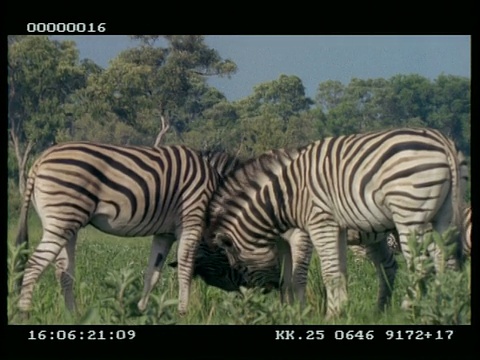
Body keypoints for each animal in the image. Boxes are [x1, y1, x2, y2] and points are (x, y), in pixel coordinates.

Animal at [12, 141, 229, 316]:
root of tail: (41, 159)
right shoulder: (191, 220)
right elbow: (185, 268)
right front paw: (183, 313)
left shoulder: (164, 233)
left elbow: (153, 273)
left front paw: (141, 311)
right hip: (63, 218)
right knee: (34, 265)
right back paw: (24, 314)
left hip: (67, 224)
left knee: (64, 273)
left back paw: (72, 316)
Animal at [205, 127, 464, 318]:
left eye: (236, 266)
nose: (254, 297)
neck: (284, 197)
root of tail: (443, 141)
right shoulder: (327, 229)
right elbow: (332, 272)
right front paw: (328, 311)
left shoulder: (315, 226)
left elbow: (311, 275)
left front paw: (310, 313)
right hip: (441, 215)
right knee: (441, 259)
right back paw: (440, 303)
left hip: (410, 215)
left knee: (419, 262)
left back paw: (412, 307)